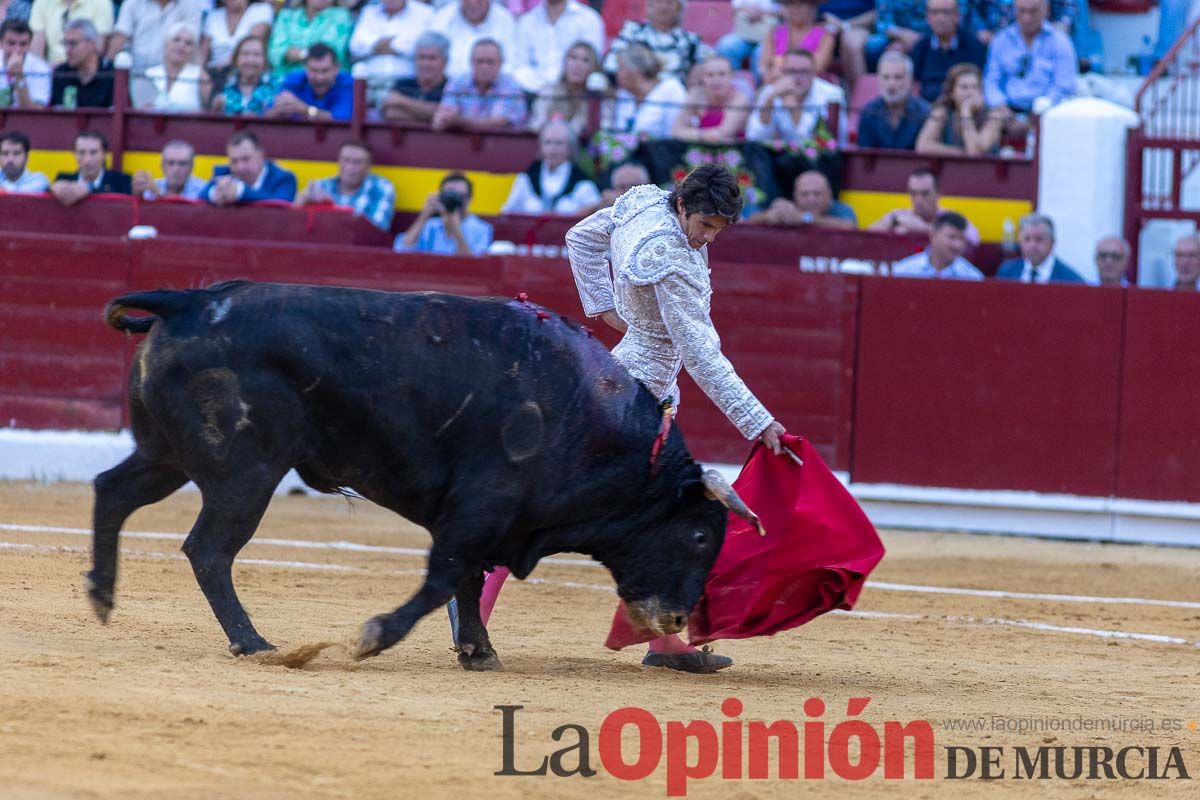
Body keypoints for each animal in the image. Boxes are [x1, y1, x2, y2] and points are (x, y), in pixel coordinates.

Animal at [91, 281, 758, 671]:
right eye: (701, 535)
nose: (681, 621)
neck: (584, 415)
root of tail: (191, 301)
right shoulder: (479, 507)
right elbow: (444, 578)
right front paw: (376, 636)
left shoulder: (491, 520)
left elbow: (465, 579)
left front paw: (478, 652)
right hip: (245, 472)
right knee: (209, 548)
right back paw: (254, 643)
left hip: (166, 455)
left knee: (113, 491)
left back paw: (101, 595)